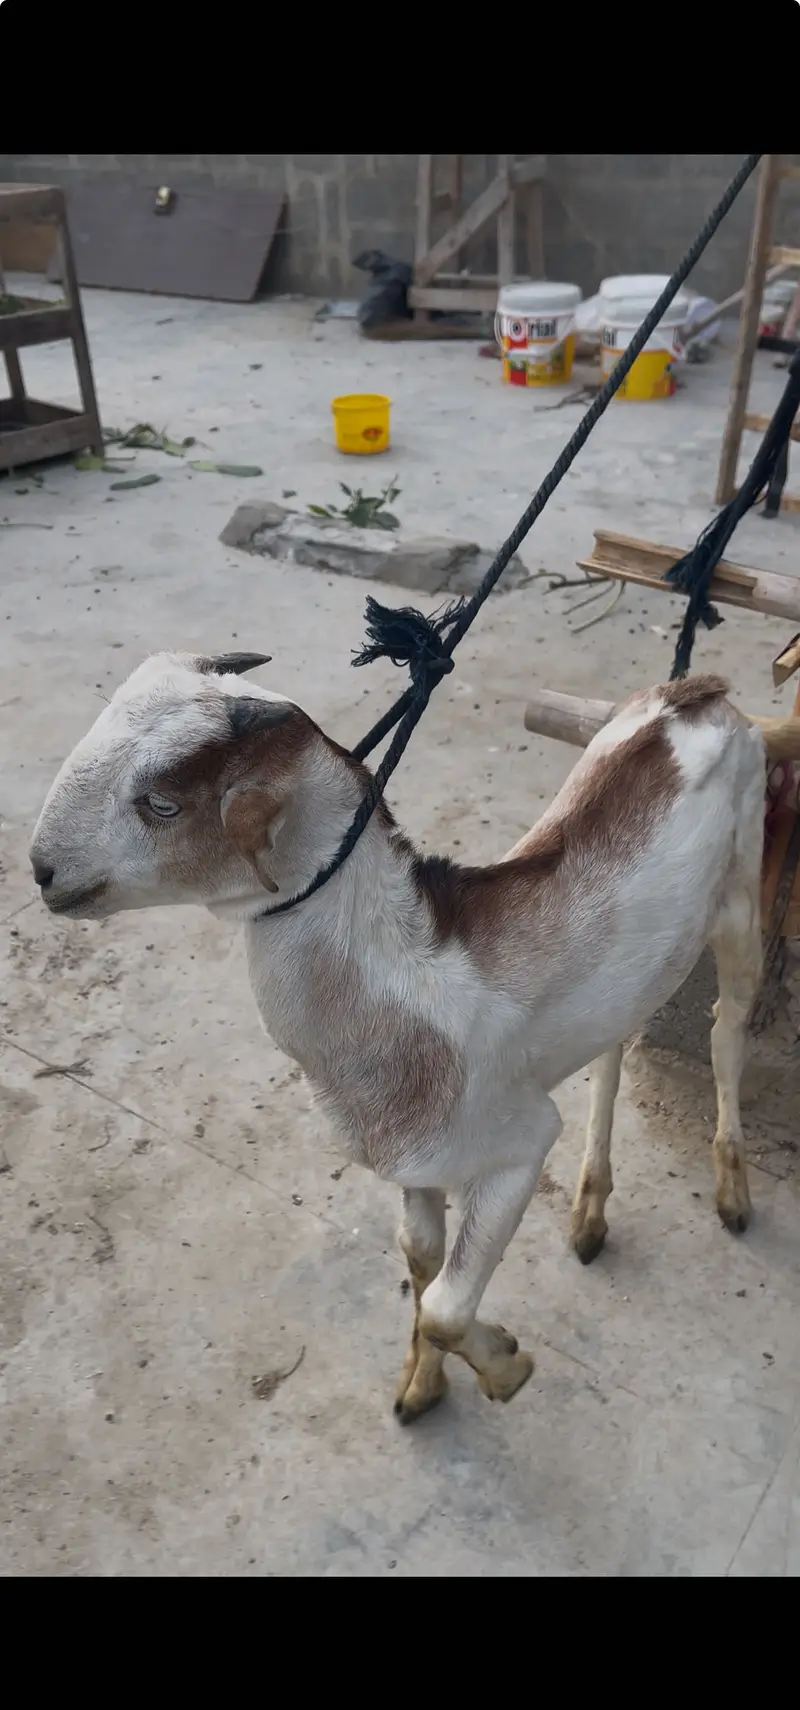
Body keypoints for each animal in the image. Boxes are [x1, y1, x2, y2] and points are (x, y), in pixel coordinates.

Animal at [30, 652, 765, 1424]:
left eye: (162, 805)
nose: (42, 872)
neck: (405, 985)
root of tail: (695, 694)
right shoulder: (417, 1162)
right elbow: (420, 1256)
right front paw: (422, 1388)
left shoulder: (519, 1145)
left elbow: (444, 1304)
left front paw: (507, 1366)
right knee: (614, 1050)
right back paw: (591, 1210)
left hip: (743, 889)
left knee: (729, 1026)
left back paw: (732, 1193)